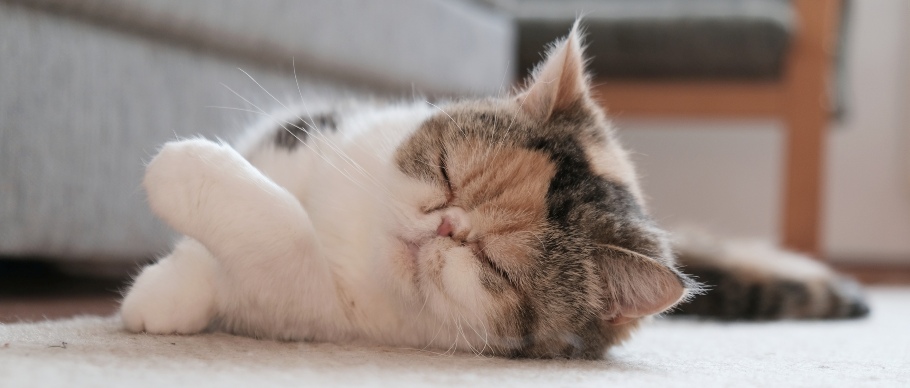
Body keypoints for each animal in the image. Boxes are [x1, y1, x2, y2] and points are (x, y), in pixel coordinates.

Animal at [121, 22, 868, 360]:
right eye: (447, 170)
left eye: (494, 266)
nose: (445, 226)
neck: (356, 237)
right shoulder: (306, 139)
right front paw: (171, 287)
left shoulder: (312, 302)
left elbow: (279, 234)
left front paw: (177, 174)